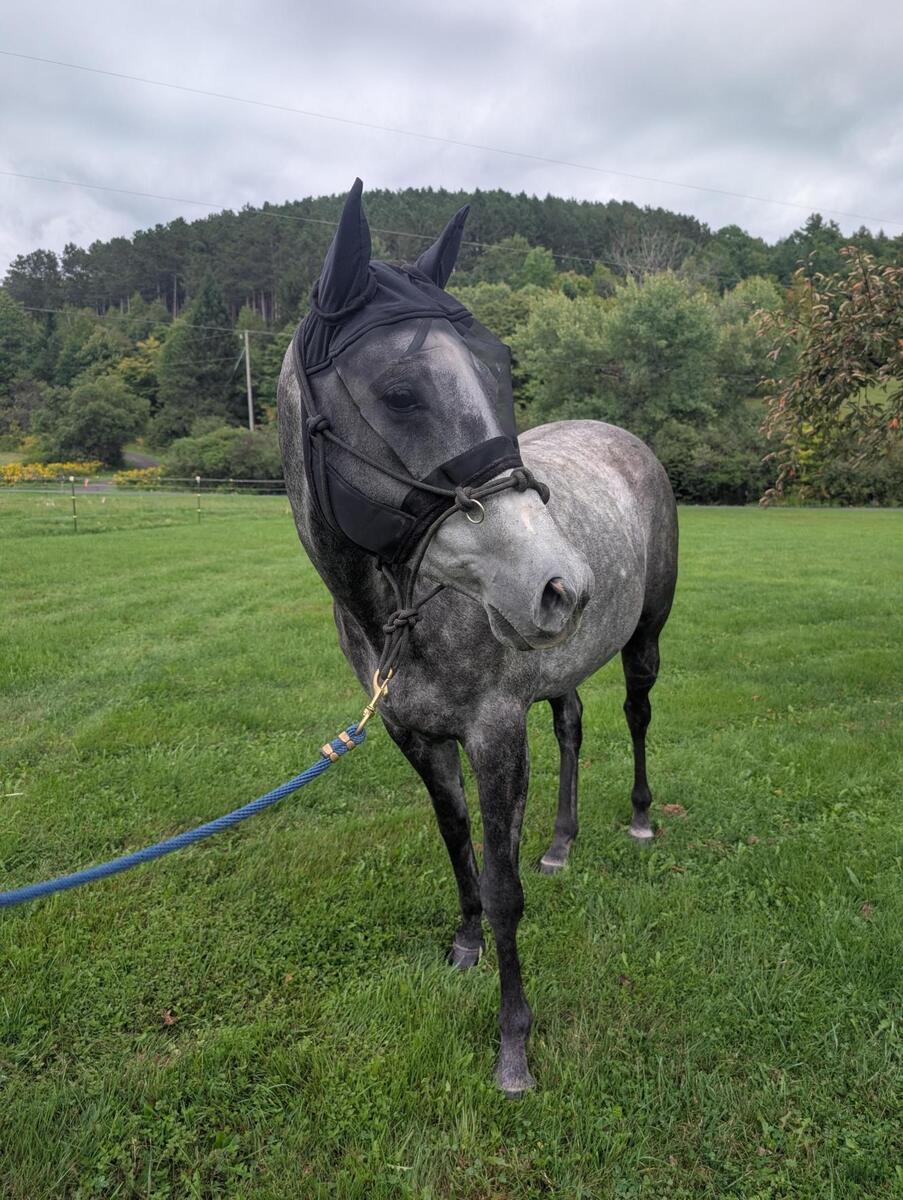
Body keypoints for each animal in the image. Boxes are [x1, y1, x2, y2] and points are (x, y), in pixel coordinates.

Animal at [277, 180, 678, 1095]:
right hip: (560, 666)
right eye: (399, 392)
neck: (400, 612)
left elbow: (501, 885)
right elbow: (457, 842)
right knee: (571, 727)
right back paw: (561, 844)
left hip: (642, 639)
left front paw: (512, 1043)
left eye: (498, 368)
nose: (560, 585)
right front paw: (463, 945)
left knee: (635, 716)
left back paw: (639, 820)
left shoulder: (494, 732)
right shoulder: (413, 734)